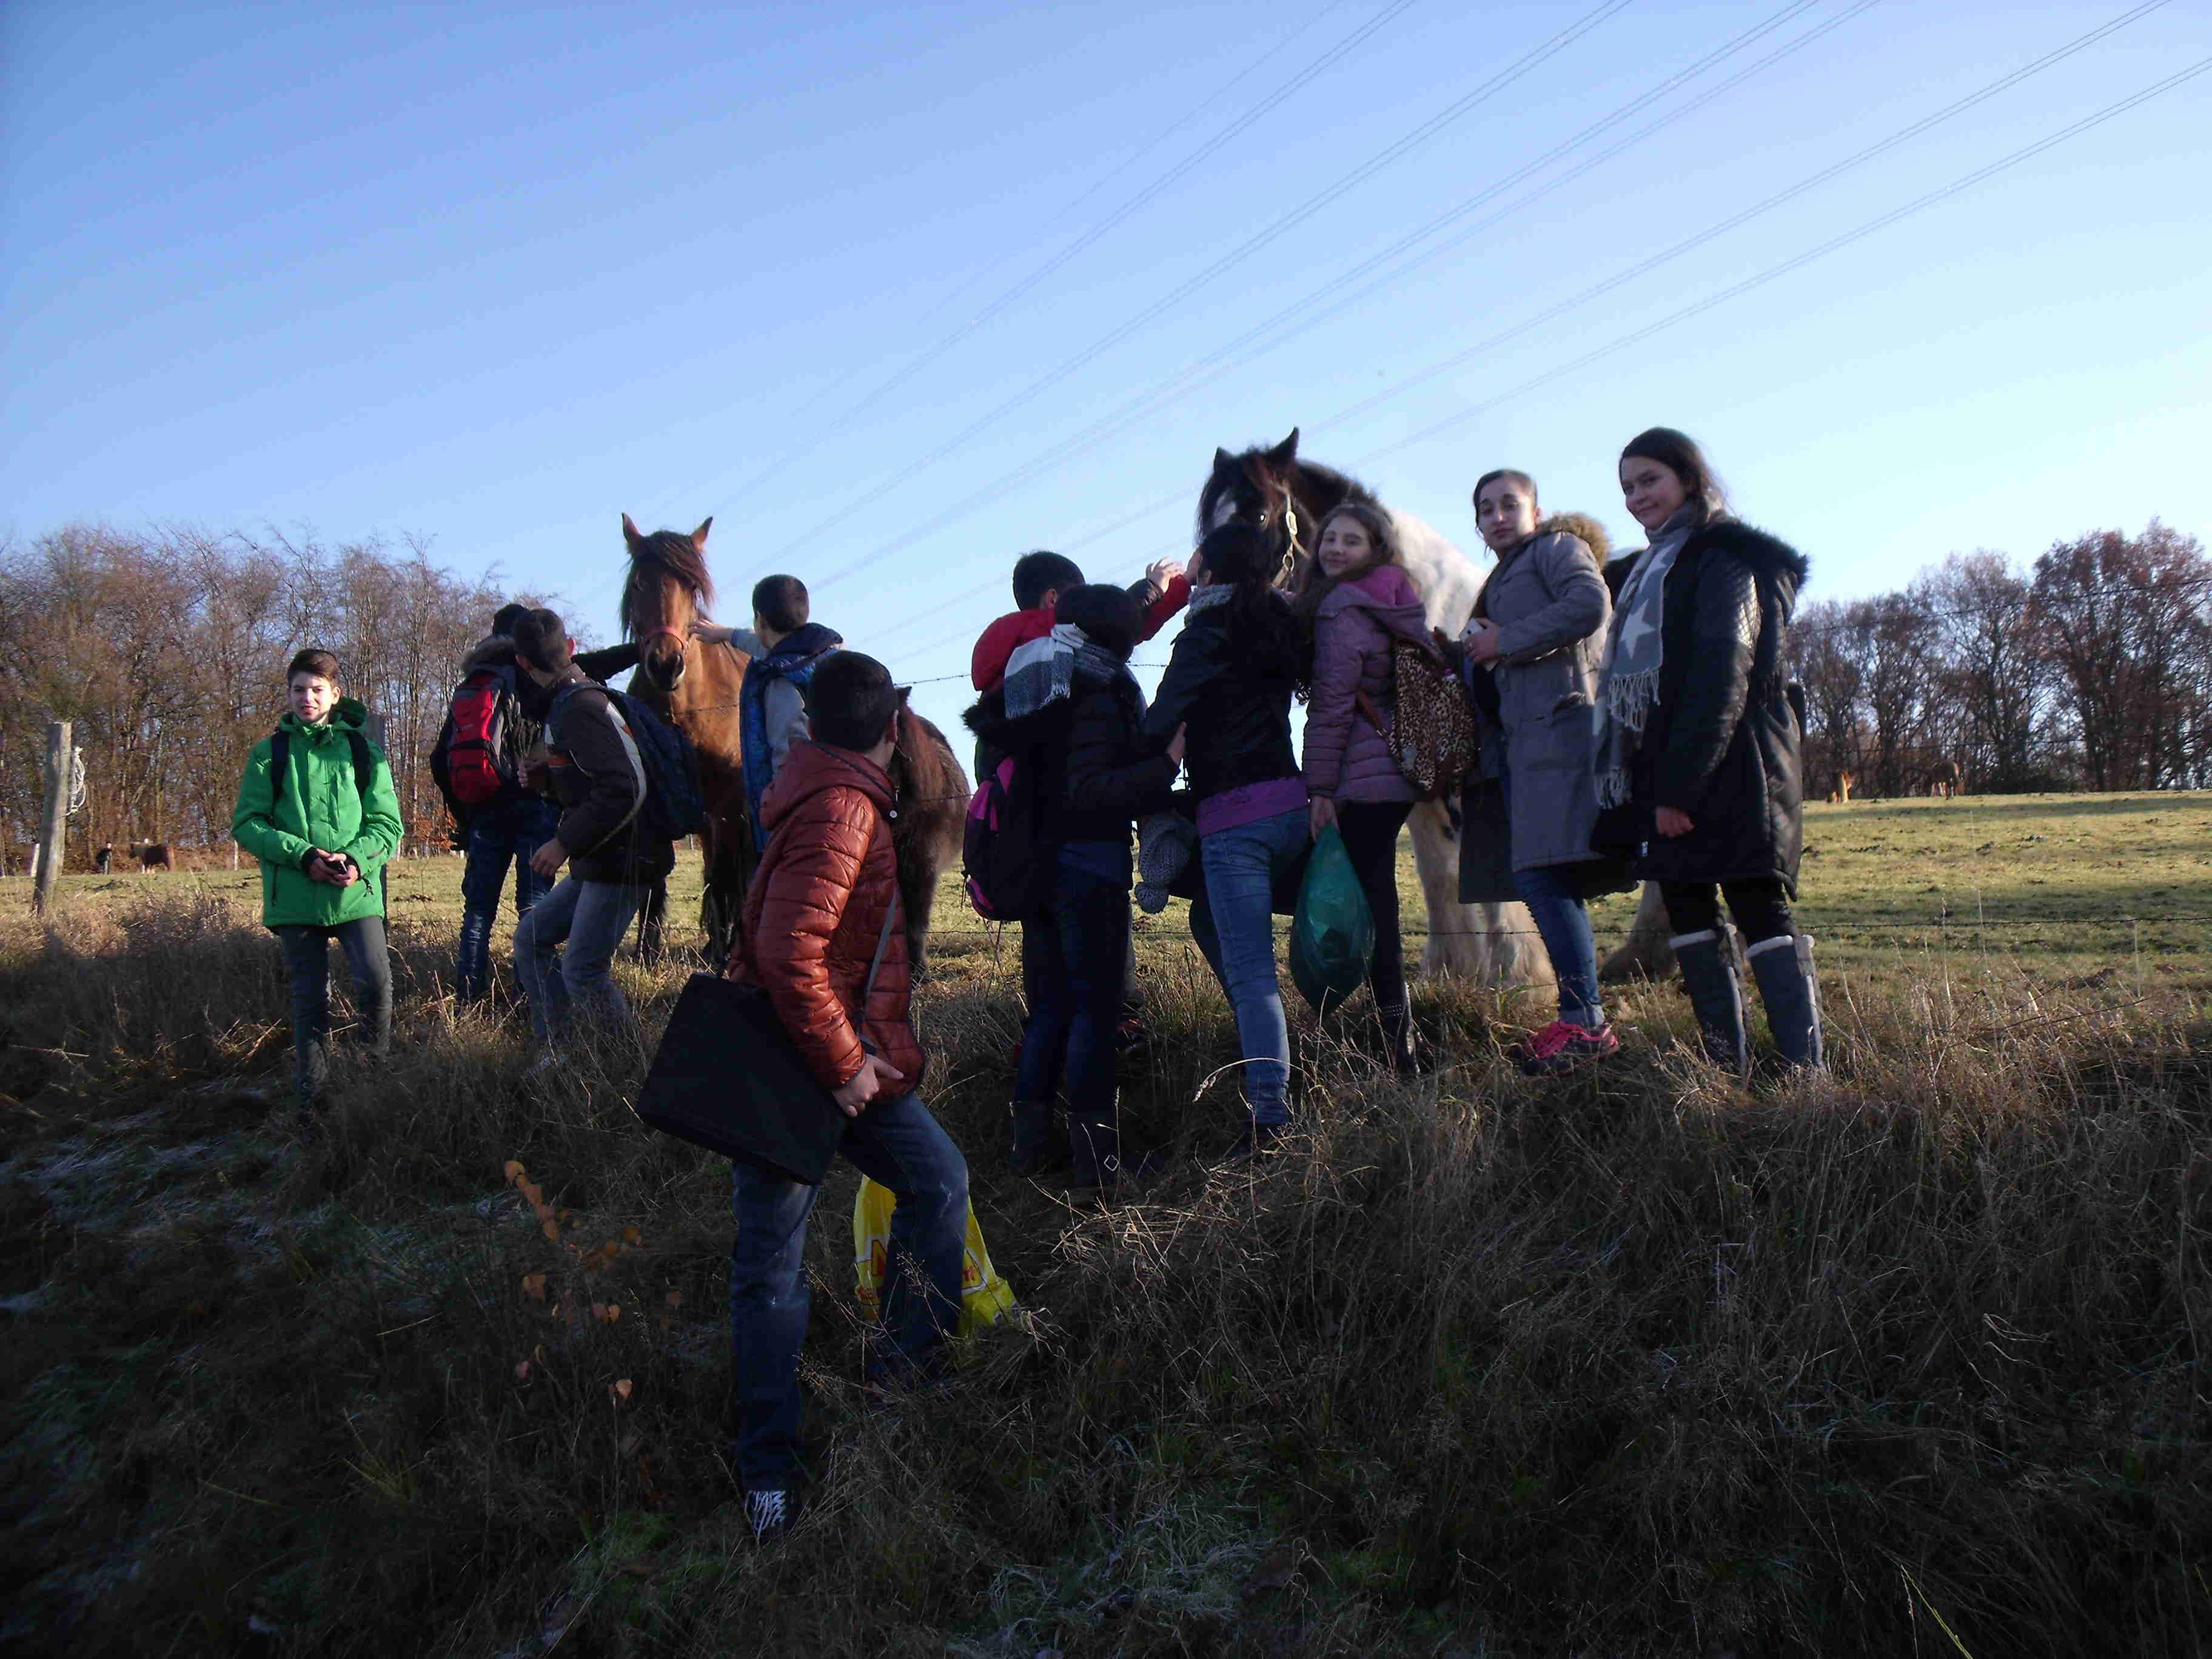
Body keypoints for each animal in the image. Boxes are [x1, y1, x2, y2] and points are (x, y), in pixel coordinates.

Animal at [619, 513, 756, 968]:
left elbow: (725, 878)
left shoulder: (727, 808)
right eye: (638, 584)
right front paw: (646, 950)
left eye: (693, 587)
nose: (666, 664)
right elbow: (652, 877)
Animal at [1203, 435, 1548, 995]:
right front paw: (1451, 970)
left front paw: (1517, 976)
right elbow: (1438, 873)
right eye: (1209, 520)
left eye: (1258, 514)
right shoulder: (1418, 789)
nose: (1215, 608)